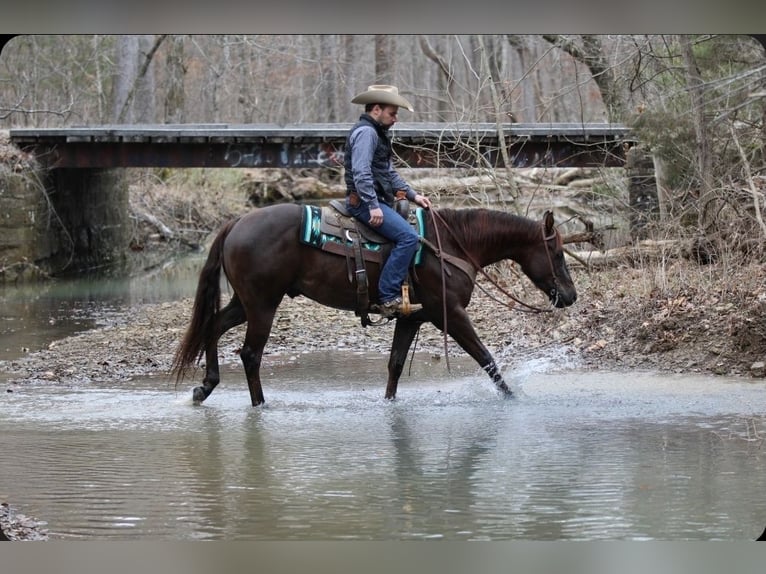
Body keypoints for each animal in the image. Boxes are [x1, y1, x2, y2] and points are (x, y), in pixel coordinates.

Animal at [171, 203, 577, 406]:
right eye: (557, 253)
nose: (570, 295)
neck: (451, 244)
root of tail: (236, 223)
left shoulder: (413, 318)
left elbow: (395, 365)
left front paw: (389, 406)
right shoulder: (450, 315)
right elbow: (486, 359)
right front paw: (512, 398)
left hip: (245, 302)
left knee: (212, 327)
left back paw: (205, 388)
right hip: (262, 305)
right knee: (251, 354)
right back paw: (259, 405)